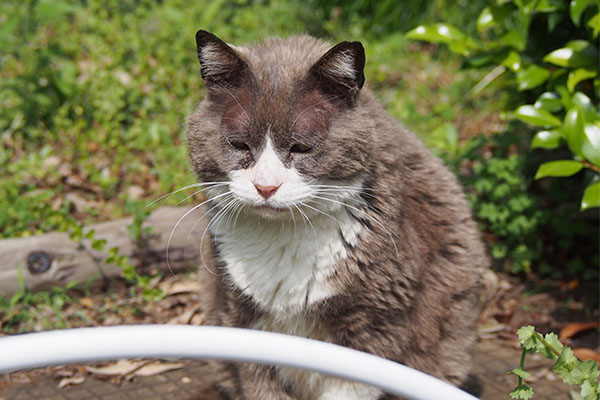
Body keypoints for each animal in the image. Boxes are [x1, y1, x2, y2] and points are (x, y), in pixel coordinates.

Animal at [186, 30, 488, 400]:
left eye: (303, 147)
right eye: (239, 144)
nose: (265, 186)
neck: (284, 238)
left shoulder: (375, 326)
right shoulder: (240, 318)